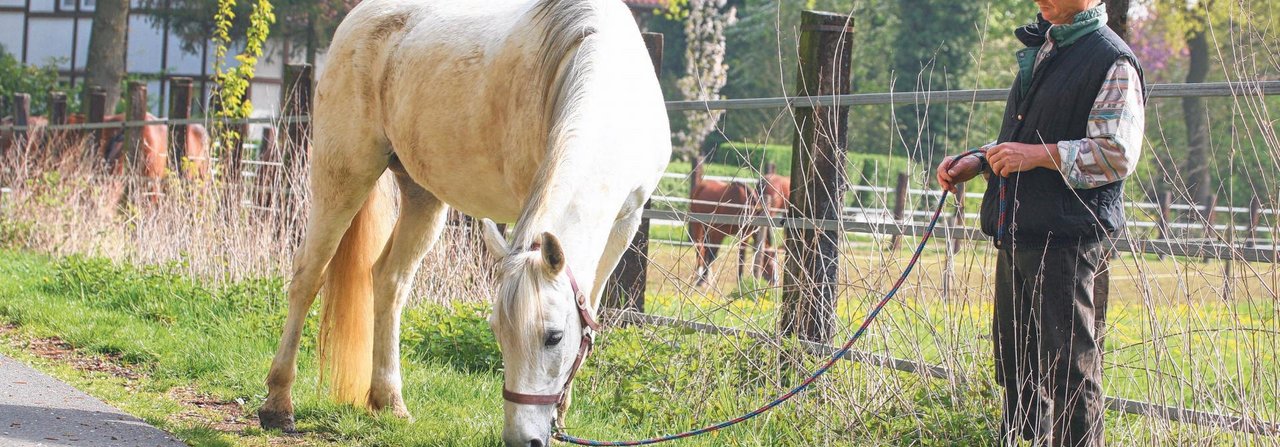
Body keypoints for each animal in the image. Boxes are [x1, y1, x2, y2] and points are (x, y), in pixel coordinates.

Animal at [257, 0, 670, 443]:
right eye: (498, 332)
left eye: (553, 337)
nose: (523, 440)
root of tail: (358, 18)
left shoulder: (625, 222)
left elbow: (589, 309)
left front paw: (562, 414)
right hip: (344, 176)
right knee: (308, 276)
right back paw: (278, 404)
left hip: (423, 197)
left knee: (389, 281)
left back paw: (390, 401)